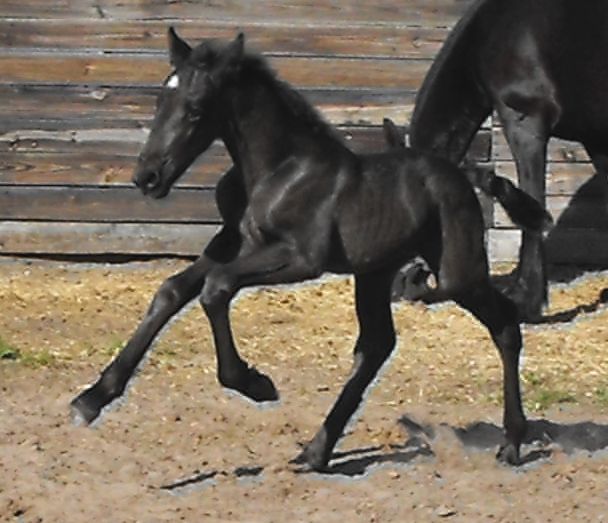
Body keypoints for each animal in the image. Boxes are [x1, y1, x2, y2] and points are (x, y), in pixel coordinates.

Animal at [71, 28, 548, 470]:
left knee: (504, 324)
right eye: (159, 102)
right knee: (377, 345)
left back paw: (511, 443)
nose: (147, 177)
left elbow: (216, 288)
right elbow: (171, 290)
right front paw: (91, 399)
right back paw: (316, 451)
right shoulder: (228, 244)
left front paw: (255, 383)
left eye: (195, 109)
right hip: (375, 272)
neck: (279, 170)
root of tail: (464, 173)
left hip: (456, 273)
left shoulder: (301, 258)